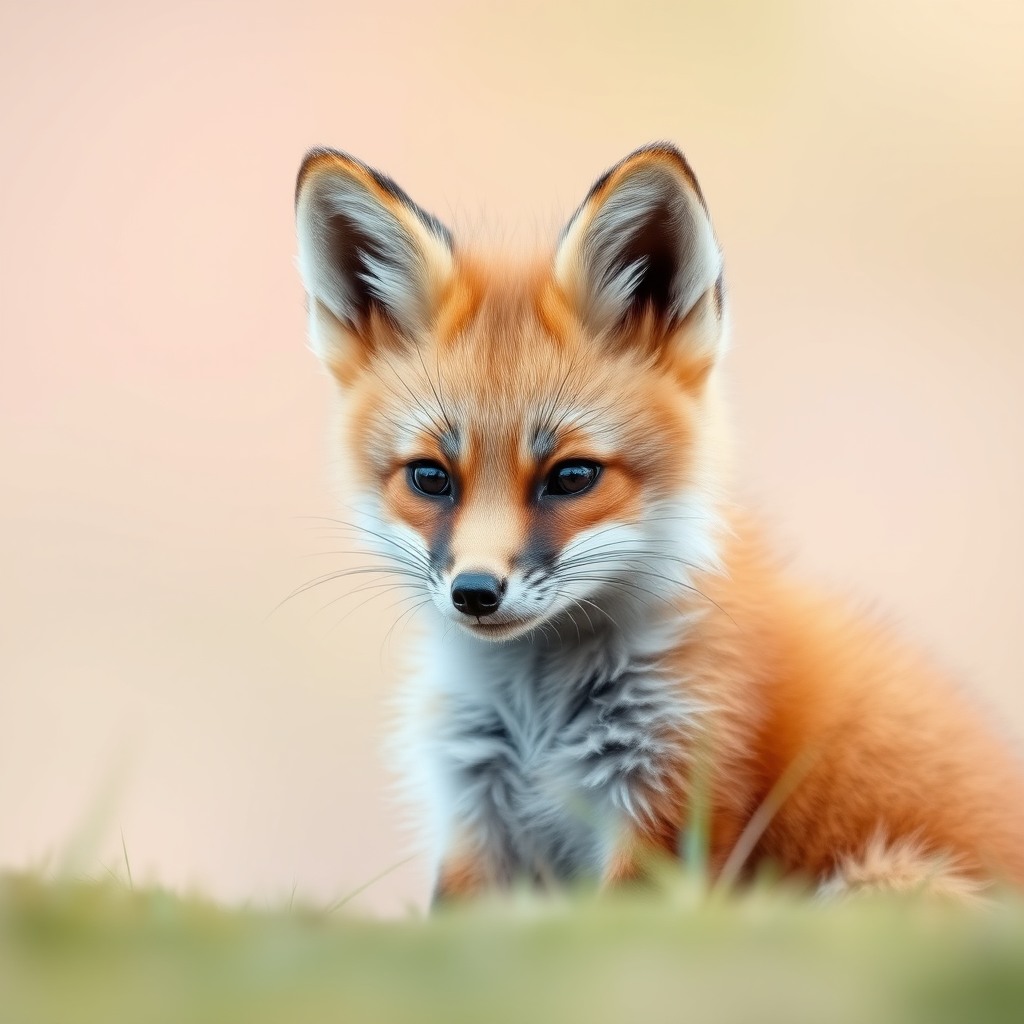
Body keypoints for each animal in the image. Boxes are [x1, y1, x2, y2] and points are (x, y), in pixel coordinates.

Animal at [294, 143, 1024, 906]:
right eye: (430, 478)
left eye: (573, 477)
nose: (475, 593)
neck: (534, 723)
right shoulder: (475, 816)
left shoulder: (669, 803)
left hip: (883, 883)